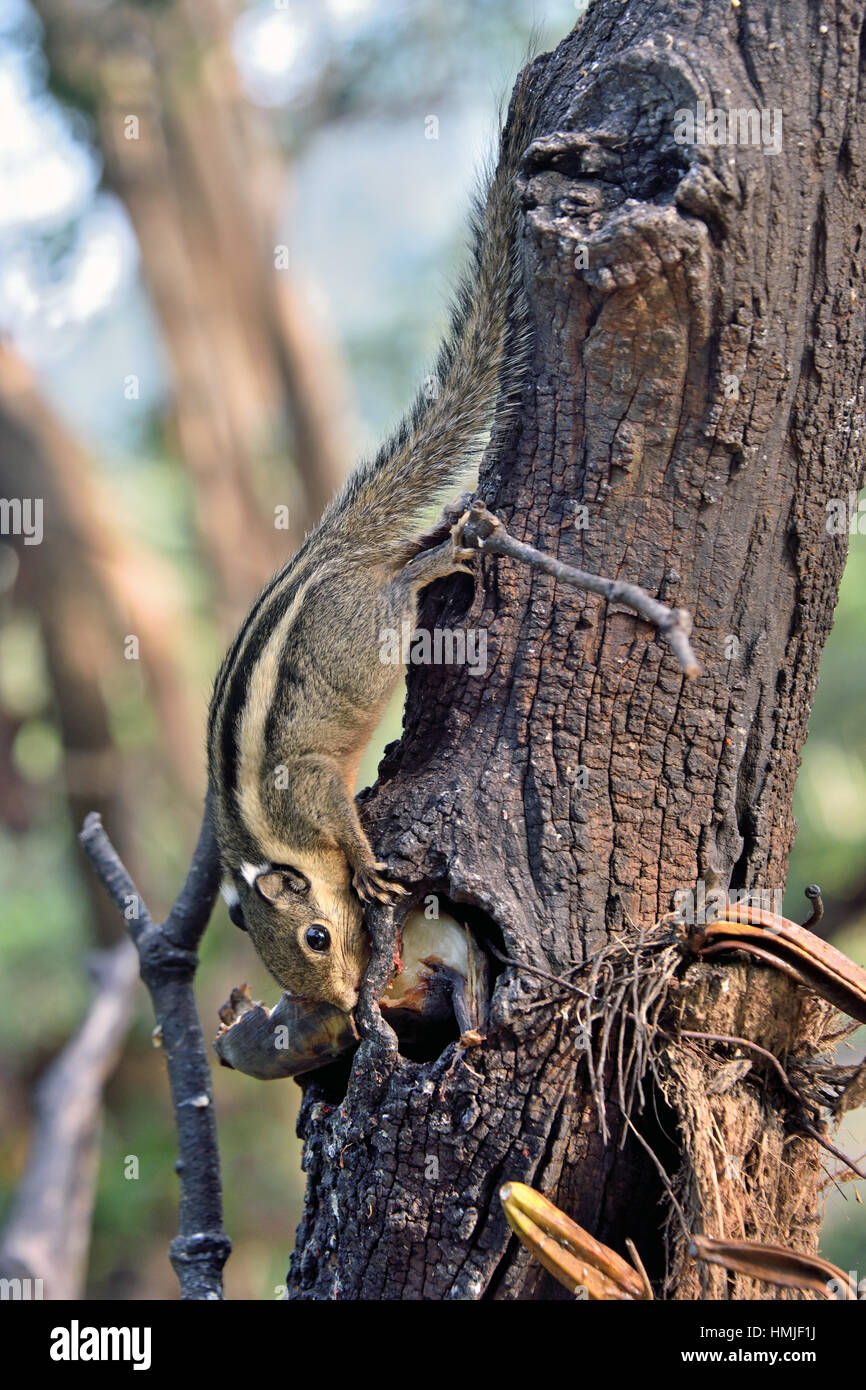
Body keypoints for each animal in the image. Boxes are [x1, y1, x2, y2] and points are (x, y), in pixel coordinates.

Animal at [207, 65, 539, 1017]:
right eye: (294, 964)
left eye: (318, 936)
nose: (348, 994)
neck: (271, 842)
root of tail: (326, 554)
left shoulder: (314, 792)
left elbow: (347, 835)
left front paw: (363, 868)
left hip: (372, 626)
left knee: (402, 587)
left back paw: (440, 557)